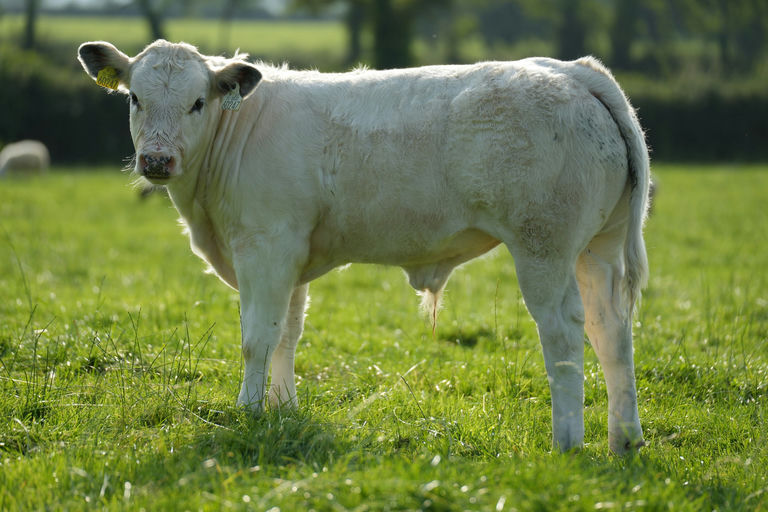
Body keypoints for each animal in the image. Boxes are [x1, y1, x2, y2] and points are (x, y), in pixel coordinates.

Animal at [78, 39, 650, 453]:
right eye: (135, 98)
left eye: (197, 103)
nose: (156, 161)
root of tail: (571, 69)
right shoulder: (291, 253)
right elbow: (288, 334)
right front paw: (282, 411)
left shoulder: (265, 246)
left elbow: (257, 337)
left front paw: (248, 411)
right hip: (597, 248)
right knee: (611, 331)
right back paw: (624, 440)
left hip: (542, 246)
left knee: (564, 333)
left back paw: (567, 443)